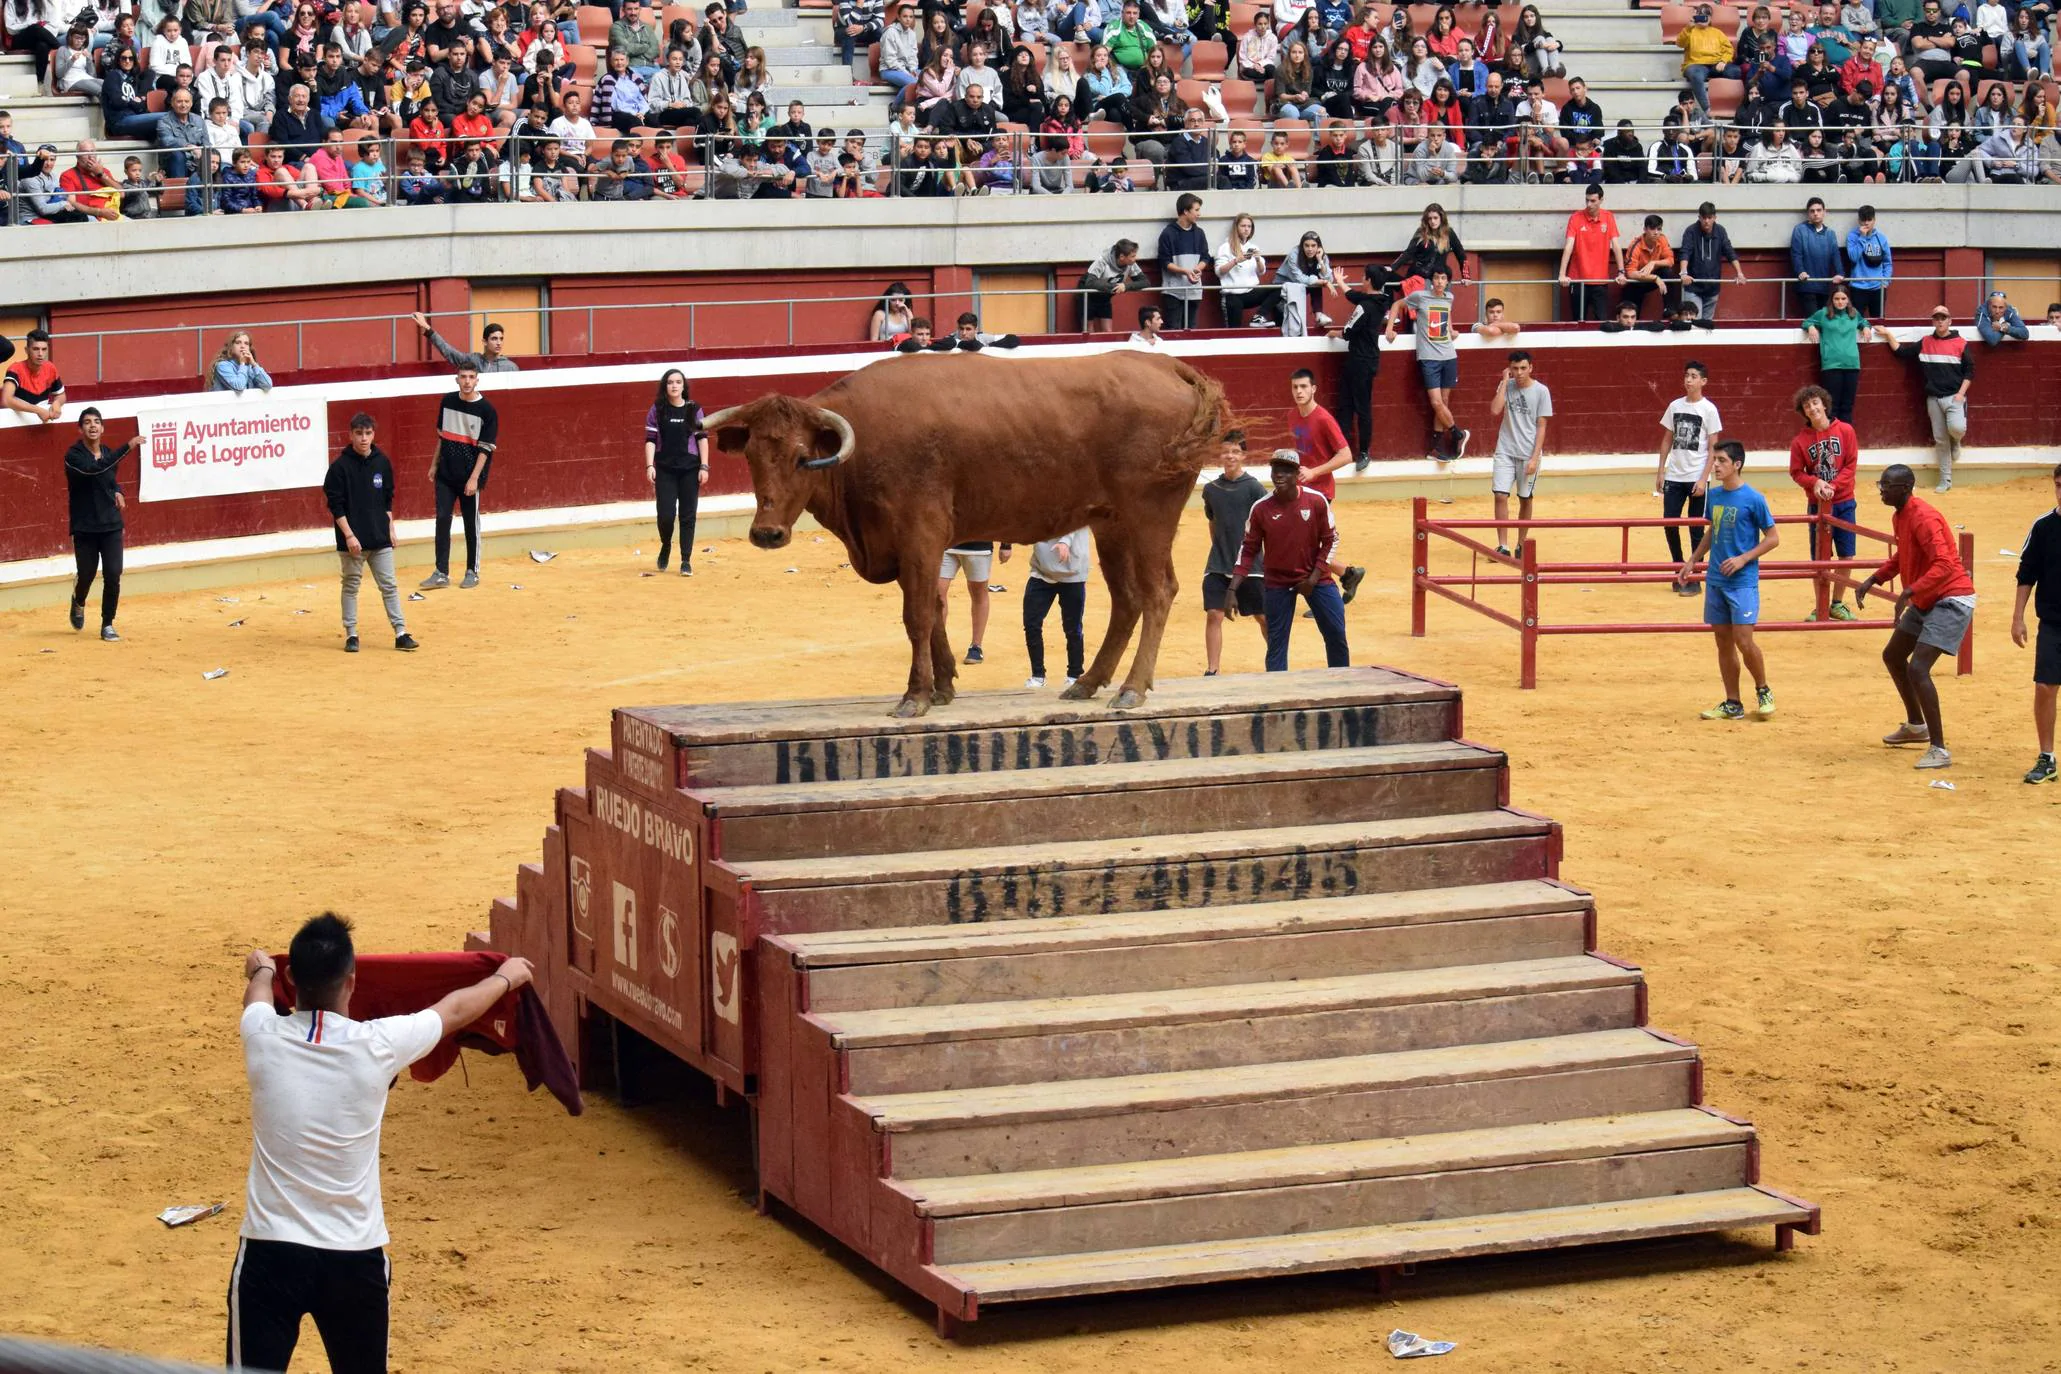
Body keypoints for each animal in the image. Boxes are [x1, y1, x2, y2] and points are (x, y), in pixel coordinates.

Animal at [704, 350, 1220, 720]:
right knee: (1127, 599)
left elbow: (916, 615)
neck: (864, 443)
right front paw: (944, 685)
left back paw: (1132, 689)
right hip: (1111, 524)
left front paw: (916, 695)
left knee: (1158, 592)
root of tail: (1167, 366)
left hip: (1149, 516)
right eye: (750, 455)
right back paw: (1089, 683)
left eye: (802, 457)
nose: (767, 533)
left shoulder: (919, 534)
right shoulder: (910, 546)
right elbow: (934, 610)